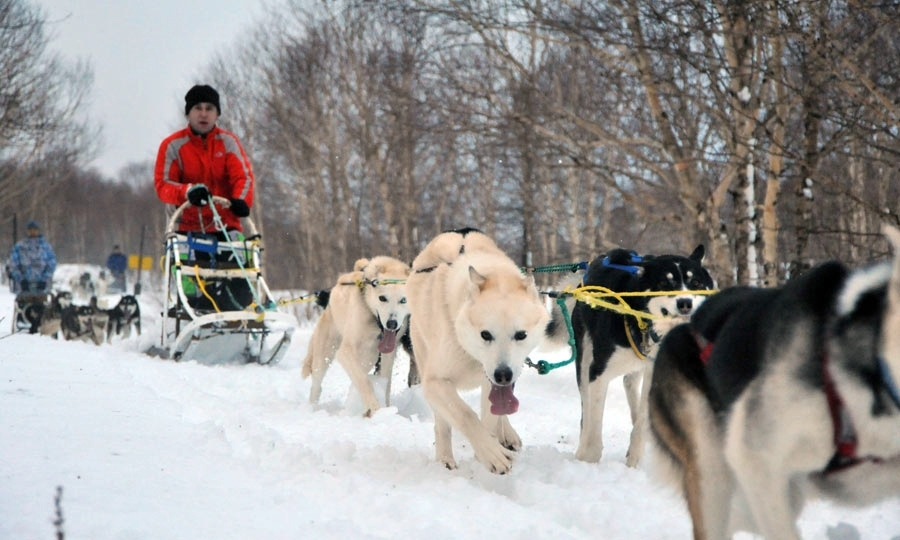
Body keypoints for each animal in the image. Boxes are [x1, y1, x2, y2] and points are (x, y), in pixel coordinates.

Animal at [304, 255, 414, 416]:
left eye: (404, 300)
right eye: (382, 298)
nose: (392, 324)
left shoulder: (388, 355)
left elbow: (386, 383)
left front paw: (386, 409)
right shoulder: (345, 352)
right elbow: (364, 381)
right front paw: (375, 409)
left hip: (369, 358)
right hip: (324, 355)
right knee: (317, 385)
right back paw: (312, 408)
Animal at [406, 228, 548, 472]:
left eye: (521, 335)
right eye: (485, 334)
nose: (503, 375)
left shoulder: (491, 382)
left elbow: (490, 417)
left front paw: (487, 450)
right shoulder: (435, 382)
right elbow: (465, 415)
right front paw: (491, 454)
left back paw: (507, 434)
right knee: (442, 423)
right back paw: (445, 458)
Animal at [544, 247, 712, 466]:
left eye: (696, 283)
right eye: (664, 283)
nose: (685, 303)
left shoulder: (654, 373)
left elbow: (641, 421)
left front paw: (634, 458)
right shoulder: (598, 373)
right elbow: (593, 421)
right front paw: (588, 458)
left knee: (630, 385)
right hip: (584, 359)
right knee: (586, 409)